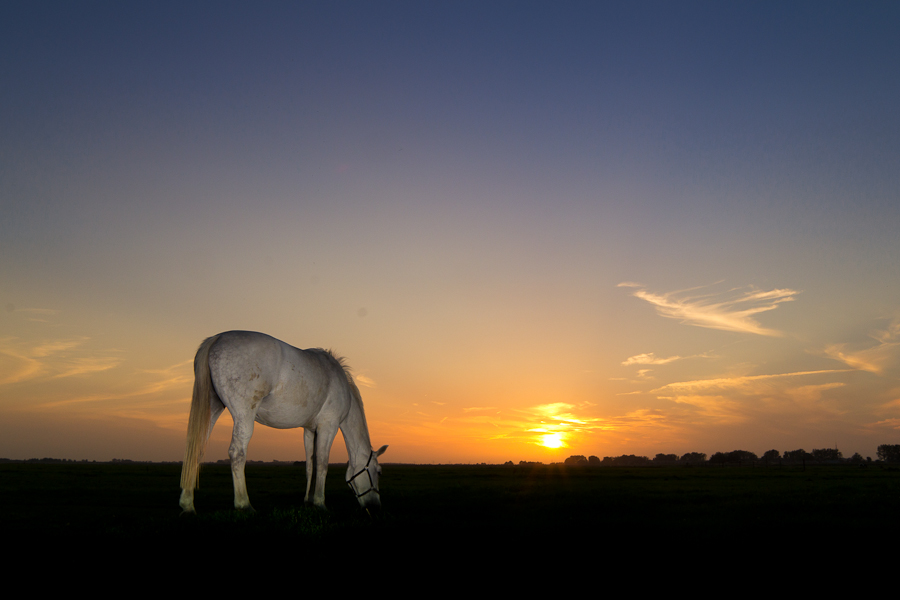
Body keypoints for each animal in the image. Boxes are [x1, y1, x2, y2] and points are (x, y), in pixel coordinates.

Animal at [179, 331, 387, 513]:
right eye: (378, 472)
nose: (375, 506)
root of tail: (217, 338)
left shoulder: (309, 430)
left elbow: (310, 465)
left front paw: (308, 500)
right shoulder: (328, 426)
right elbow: (322, 463)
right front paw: (320, 503)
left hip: (212, 408)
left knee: (195, 450)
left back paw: (187, 504)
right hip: (244, 415)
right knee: (237, 453)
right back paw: (244, 504)